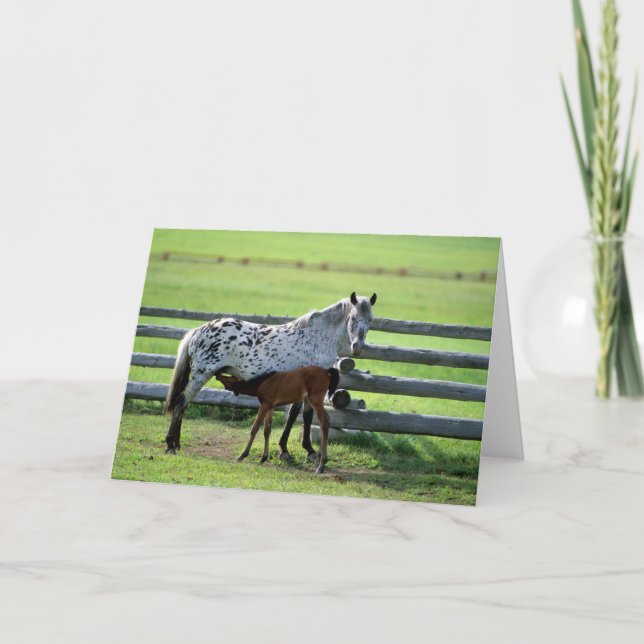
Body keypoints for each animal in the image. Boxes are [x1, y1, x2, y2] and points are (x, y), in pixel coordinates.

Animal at [164, 291, 377, 456]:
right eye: (352, 318)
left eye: (370, 320)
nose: (358, 347)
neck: (319, 337)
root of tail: (199, 330)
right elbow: (301, 415)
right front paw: (298, 450)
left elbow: (300, 415)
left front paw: (298, 449)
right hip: (201, 374)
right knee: (181, 402)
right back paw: (170, 445)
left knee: (184, 404)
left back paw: (177, 443)